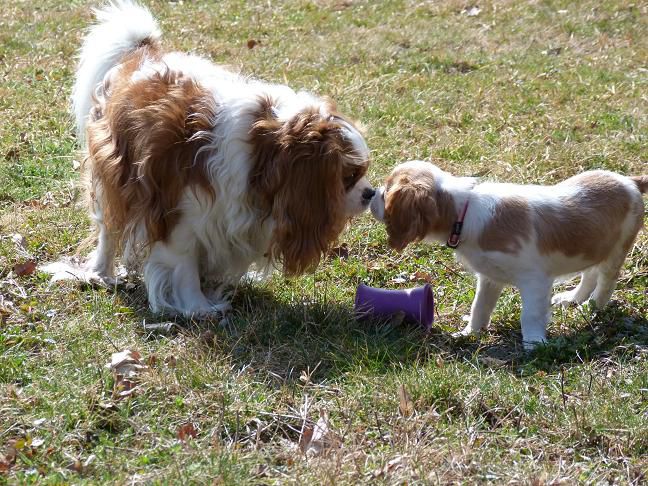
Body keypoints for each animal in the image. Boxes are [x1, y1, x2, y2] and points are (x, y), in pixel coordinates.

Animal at [43, 0, 372, 318]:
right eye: (349, 176)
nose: (370, 193)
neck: (263, 152)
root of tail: (143, 51)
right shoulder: (179, 214)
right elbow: (184, 264)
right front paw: (198, 307)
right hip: (111, 174)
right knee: (108, 231)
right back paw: (100, 272)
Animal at [370, 162, 648, 350]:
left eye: (387, 192)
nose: (371, 193)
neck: (463, 211)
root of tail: (629, 181)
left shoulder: (534, 280)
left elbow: (530, 314)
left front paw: (535, 344)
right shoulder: (490, 278)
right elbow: (480, 307)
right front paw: (469, 333)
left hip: (618, 247)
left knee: (606, 280)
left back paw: (593, 307)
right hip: (595, 244)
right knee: (589, 272)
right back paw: (573, 299)